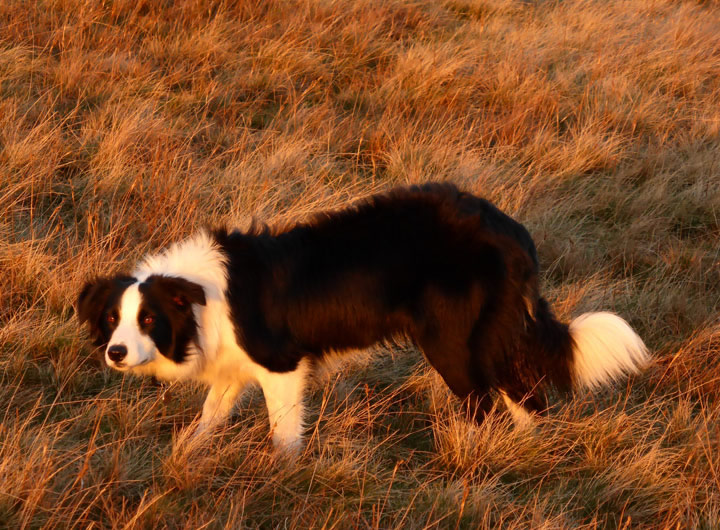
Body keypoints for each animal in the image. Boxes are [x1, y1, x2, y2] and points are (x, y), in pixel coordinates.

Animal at [76, 184, 648, 448]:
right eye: (111, 320)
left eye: (149, 320)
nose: (115, 354)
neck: (199, 301)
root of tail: (509, 230)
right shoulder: (234, 369)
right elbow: (207, 419)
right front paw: (185, 459)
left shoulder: (281, 366)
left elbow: (284, 435)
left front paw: (284, 478)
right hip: (488, 340)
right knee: (526, 399)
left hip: (450, 343)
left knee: (484, 404)